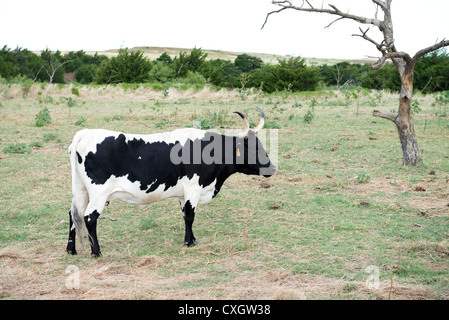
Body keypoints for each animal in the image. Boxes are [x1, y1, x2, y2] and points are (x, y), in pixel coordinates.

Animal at [66, 106, 276, 256]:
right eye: (253, 148)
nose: (272, 168)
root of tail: (84, 134)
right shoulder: (193, 188)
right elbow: (190, 216)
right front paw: (190, 243)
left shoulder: (184, 193)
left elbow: (185, 215)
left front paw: (191, 239)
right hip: (98, 193)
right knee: (89, 217)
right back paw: (96, 252)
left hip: (80, 190)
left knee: (73, 214)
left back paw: (71, 249)